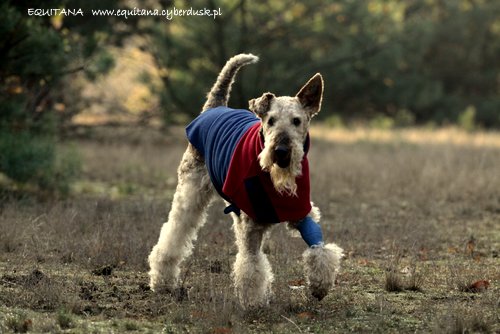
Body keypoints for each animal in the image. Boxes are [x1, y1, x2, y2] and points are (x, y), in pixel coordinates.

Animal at [148, 52, 344, 308]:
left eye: (297, 121)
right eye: (270, 121)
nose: (281, 151)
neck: (274, 181)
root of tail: (214, 107)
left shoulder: (301, 211)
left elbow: (318, 247)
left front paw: (320, 286)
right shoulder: (250, 223)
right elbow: (251, 264)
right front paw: (253, 302)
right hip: (190, 193)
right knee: (173, 233)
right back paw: (162, 282)